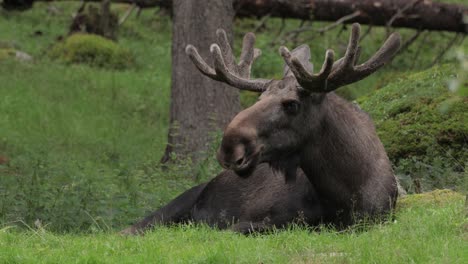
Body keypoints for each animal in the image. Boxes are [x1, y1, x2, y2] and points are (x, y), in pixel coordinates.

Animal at [121, 24, 402, 235]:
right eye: (260, 97)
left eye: (291, 104)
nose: (229, 148)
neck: (346, 194)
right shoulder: (261, 220)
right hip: (177, 204)